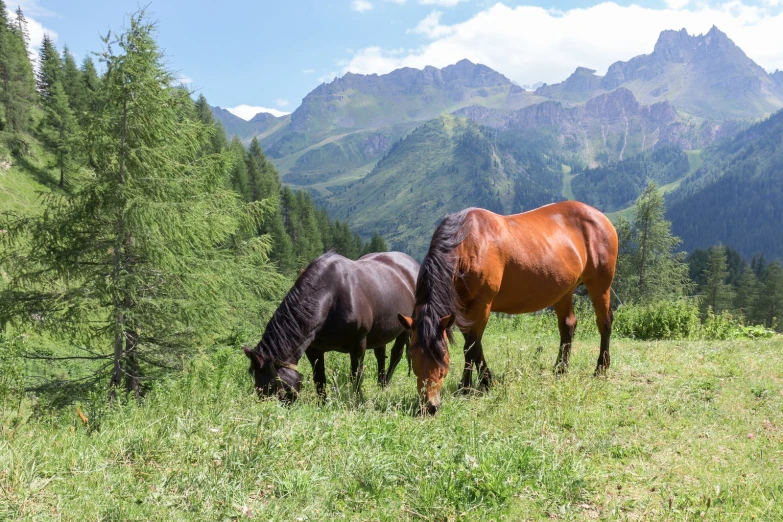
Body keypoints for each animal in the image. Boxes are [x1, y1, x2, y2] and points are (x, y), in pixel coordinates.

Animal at [243, 251, 420, 402]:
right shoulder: (313, 349)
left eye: (271, 386)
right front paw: (323, 403)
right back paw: (380, 385)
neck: (332, 298)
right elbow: (319, 378)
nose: (270, 408)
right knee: (380, 355)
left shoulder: (358, 344)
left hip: (405, 327)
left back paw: (385, 386)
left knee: (395, 355)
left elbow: (356, 375)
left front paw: (357, 401)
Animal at [398, 201, 620, 412]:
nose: (429, 405)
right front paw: (485, 381)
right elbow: (475, 345)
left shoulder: (482, 305)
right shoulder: (461, 311)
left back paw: (600, 368)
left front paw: (467, 386)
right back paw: (560, 368)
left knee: (604, 323)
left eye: (442, 355)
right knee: (568, 326)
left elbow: (471, 347)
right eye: (412, 355)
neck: (467, 245)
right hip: (564, 291)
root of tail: (600, 217)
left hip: (600, 285)